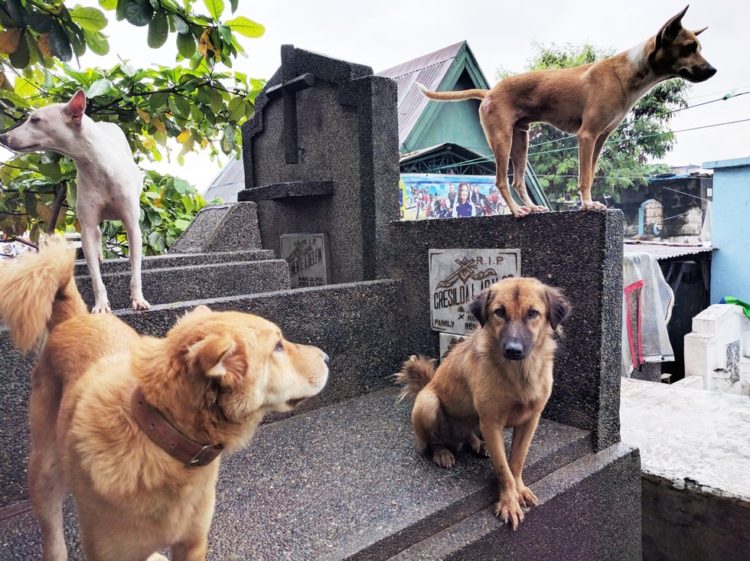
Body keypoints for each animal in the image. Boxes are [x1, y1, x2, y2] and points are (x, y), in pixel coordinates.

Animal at [0, 89, 150, 312]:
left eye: (35, 119)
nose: (3, 136)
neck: (96, 165)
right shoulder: (86, 227)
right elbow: (95, 273)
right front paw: (101, 305)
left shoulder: (131, 224)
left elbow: (136, 269)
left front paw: (138, 299)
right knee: (97, 233)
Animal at [0, 237, 332, 560]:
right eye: (278, 346)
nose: (327, 357)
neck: (159, 434)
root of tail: (75, 319)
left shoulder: (193, 542)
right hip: (44, 470)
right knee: (53, 536)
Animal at [396, 278, 572, 528]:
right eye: (499, 312)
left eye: (532, 313)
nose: (513, 350)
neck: (518, 374)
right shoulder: (491, 422)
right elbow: (503, 469)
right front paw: (509, 503)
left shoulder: (530, 421)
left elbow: (516, 462)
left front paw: (519, 490)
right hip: (428, 404)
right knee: (434, 441)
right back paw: (443, 453)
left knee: (470, 433)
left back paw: (478, 444)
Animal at [420, 5, 720, 218]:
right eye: (688, 48)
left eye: (699, 48)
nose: (713, 70)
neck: (627, 73)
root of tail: (489, 93)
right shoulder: (586, 135)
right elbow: (584, 177)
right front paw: (587, 204)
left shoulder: (600, 139)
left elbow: (592, 172)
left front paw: (590, 202)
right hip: (502, 139)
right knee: (501, 181)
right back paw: (516, 211)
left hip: (521, 140)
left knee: (517, 182)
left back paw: (532, 207)